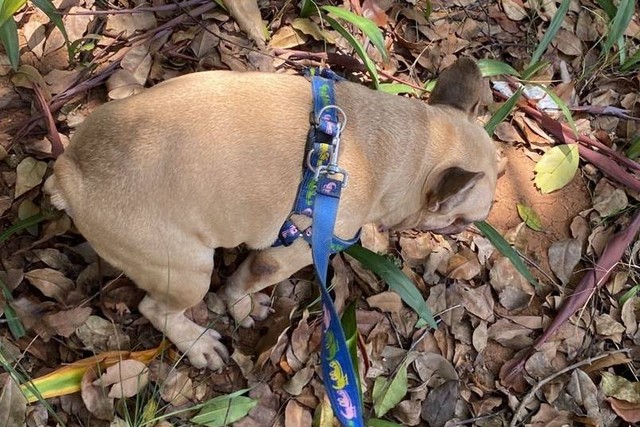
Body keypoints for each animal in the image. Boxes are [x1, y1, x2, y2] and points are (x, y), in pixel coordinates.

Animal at [45, 58, 500, 372]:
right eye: (463, 220)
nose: (479, 226)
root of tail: (72, 175)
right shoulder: (290, 250)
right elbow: (243, 281)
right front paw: (241, 308)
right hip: (186, 268)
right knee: (156, 309)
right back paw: (197, 343)